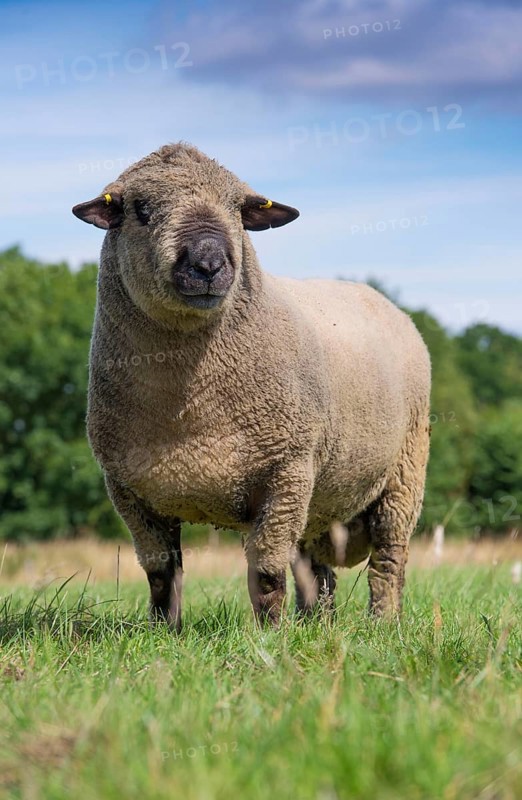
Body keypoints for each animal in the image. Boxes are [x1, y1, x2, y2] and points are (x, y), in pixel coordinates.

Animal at [72, 142, 431, 630]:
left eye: (238, 212)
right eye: (141, 211)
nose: (208, 263)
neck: (190, 409)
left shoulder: (285, 473)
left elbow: (265, 573)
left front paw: (269, 635)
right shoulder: (129, 491)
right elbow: (161, 574)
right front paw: (165, 631)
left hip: (402, 473)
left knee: (388, 561)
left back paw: (382, 623)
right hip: (318, 497)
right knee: (317, 572)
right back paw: (316, 624)